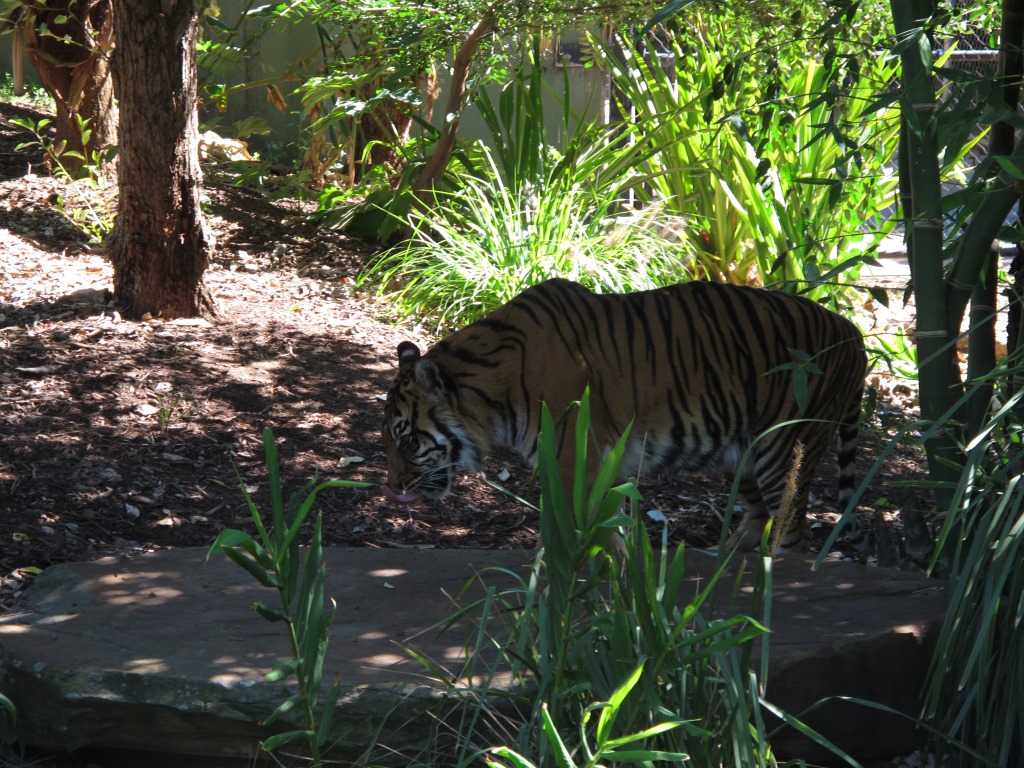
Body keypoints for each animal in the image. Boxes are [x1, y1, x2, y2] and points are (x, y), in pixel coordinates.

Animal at [380, 280, 868, 548]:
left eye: (407, 438)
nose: (392, 488)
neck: (491, 392)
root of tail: (853, 331)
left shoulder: (576, 463)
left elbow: (573, 534)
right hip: (742, 457)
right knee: (758, 518)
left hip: (782, 451)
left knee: (794, 537)